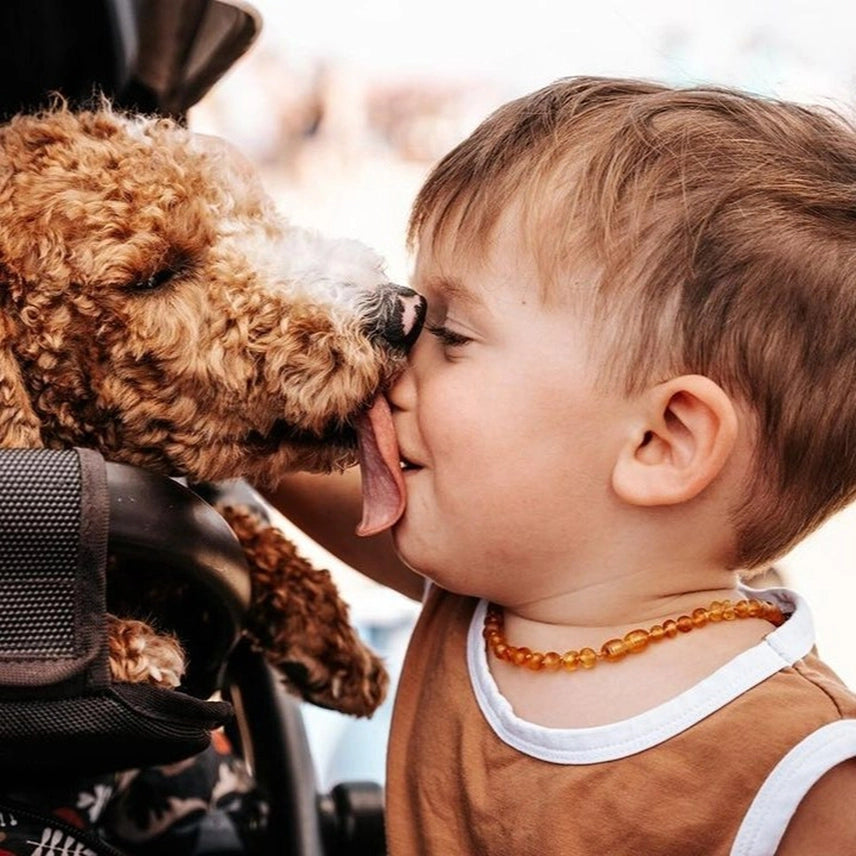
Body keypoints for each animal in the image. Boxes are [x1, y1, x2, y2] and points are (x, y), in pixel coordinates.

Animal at [0, 105, 424, 716]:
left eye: (249, 213)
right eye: (153, 277)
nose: (403, 313)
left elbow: (231, 526)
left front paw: (327, 633)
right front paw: (124, 646)